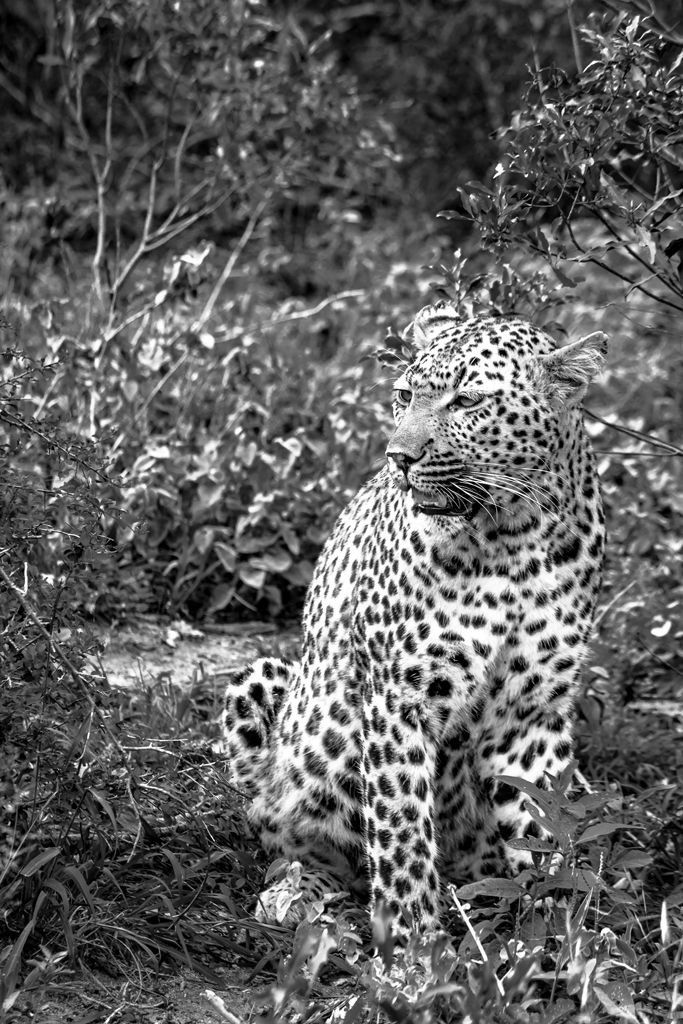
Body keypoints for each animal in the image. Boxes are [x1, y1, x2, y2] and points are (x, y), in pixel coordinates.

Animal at [222, 302, 607, 935]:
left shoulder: (532, 714)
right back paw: (298, 893)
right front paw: (413, 945)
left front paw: (558, 931)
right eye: (404, 395)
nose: (398, 459)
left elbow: (545, 825)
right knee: (287, 834)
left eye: (467, 401)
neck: (513, 535)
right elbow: (401, 828)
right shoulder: (399, 699)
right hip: (265, 685)